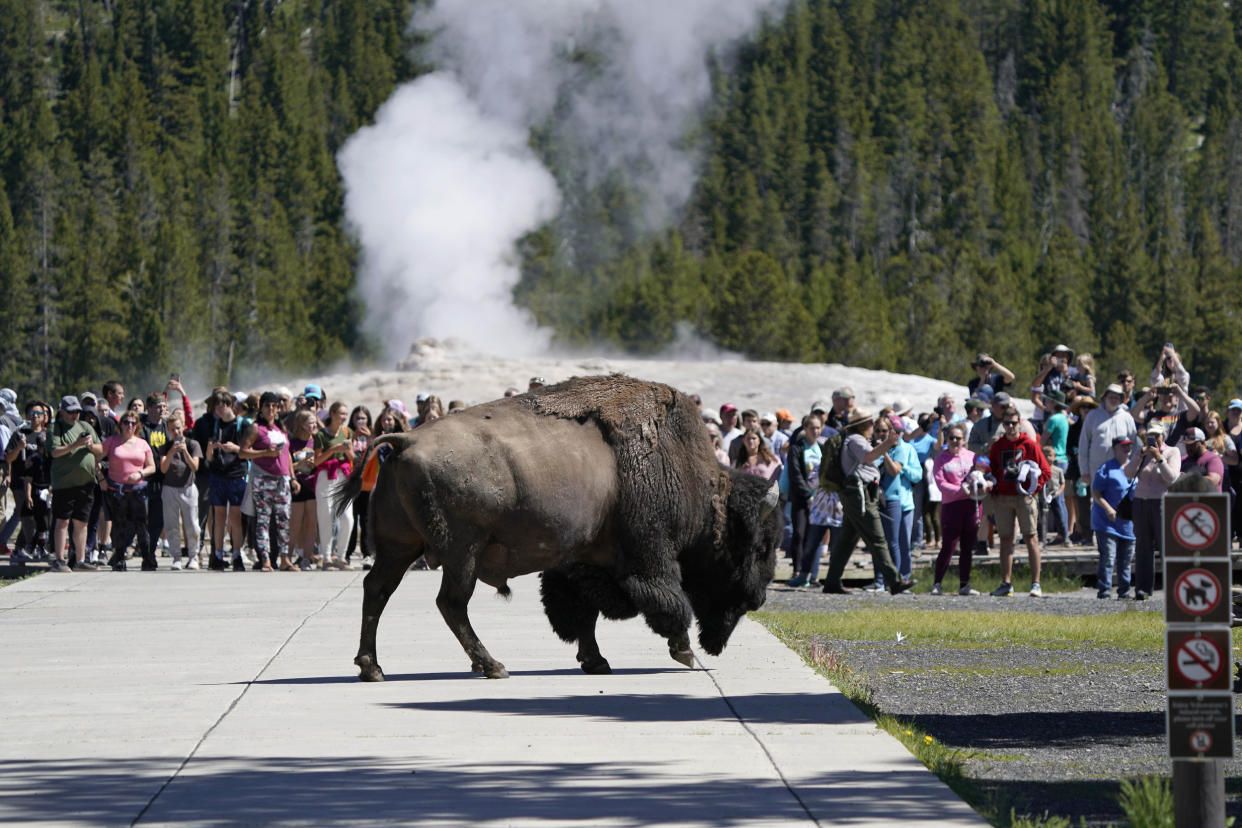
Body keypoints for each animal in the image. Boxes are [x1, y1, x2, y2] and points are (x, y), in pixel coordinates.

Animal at [330, 374, 775, 680]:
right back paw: (492, 666)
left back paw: (372, 668)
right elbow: (668, 600)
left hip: (399, 547)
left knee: (378, 591)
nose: (759, 599)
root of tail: (404, 440)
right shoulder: (650, 553)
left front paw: (596, 661)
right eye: (758, 547)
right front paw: (684, 652)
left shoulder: (582, 563)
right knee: (450, 604)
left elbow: (583, 612)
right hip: (461, 553)